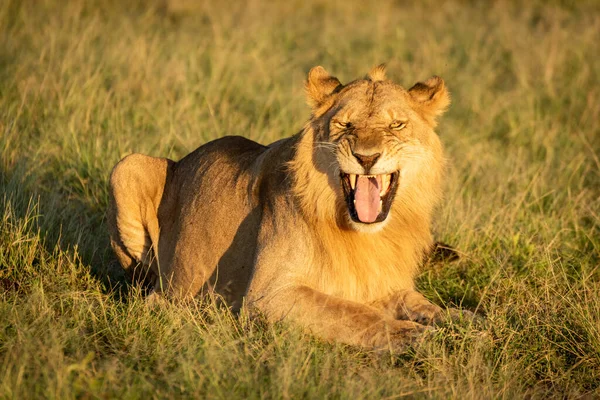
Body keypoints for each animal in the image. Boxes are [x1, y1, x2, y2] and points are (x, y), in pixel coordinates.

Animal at [109, 65, 460, 350]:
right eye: (345, 124)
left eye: (397, 125)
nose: (367, 157)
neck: (365, 234)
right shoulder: (269, 296)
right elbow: (355, 314)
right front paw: (417, 335)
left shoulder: (377, 282)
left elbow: (416, 301)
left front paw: (460, 320)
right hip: (127, 167)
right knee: (144, 286)